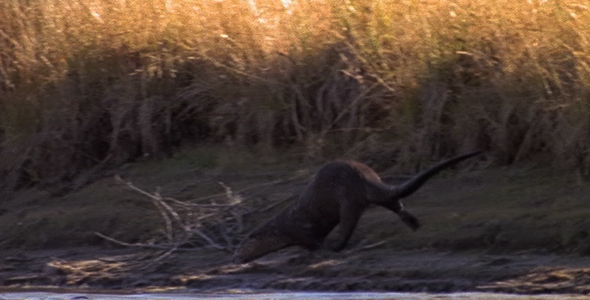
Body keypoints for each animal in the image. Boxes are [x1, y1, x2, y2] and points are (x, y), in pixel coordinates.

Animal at [234, 151, 484, 264]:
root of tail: (364, 176)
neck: (281, 227)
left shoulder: (299, 229)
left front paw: (312, 252)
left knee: (346, 226)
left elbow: (312, 242)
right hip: (376, 196)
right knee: (394, 203)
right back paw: (413, 223)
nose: (236, 257)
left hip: (348, 199)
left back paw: (335, 248)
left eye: (241, 247)